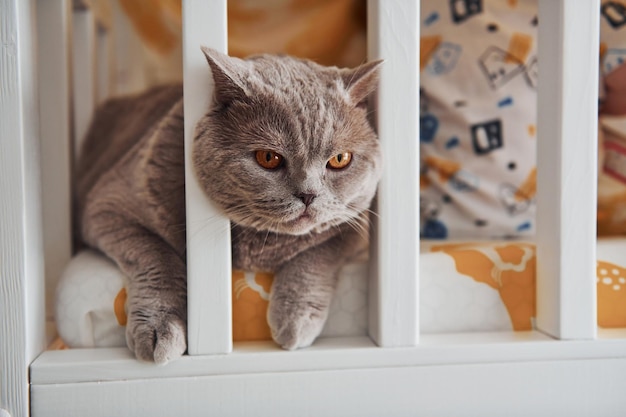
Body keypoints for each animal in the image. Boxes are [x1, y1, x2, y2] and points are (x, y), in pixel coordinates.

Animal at [76, 47, 382, 362]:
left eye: (340, 159)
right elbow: (156, 254)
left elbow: (320, 250)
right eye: (268, 158)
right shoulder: (108, 205)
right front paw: (160, 328)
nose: (309, 195)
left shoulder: (358, 222)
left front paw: (296, 320)